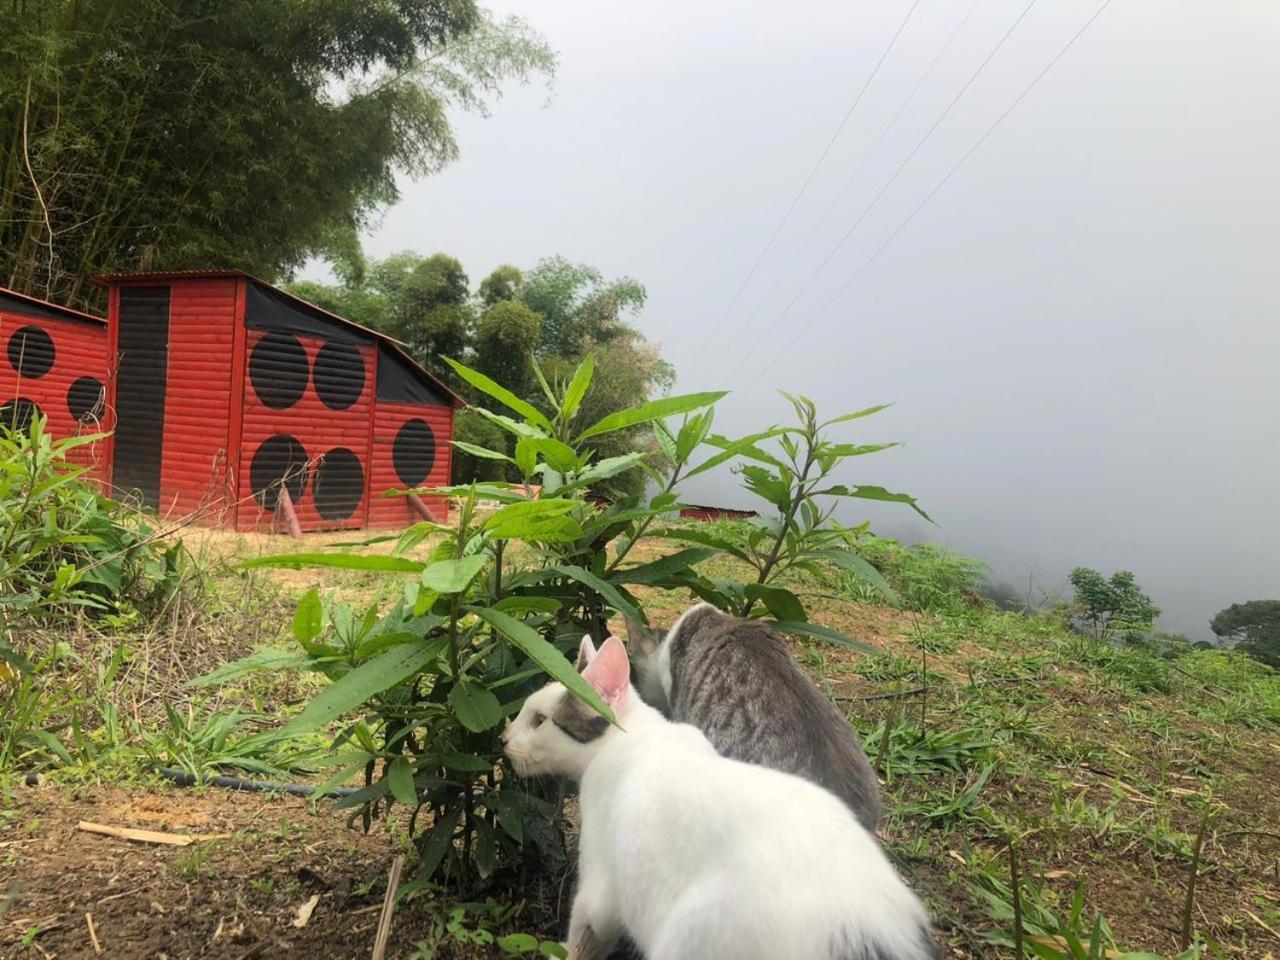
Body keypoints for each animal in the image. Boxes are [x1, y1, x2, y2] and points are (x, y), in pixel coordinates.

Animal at [501, 634, 942, 957]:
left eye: (539, 721)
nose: (503, 739)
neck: (638, 737)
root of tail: (865, 926)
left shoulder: (601, 885)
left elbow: (583, 934)